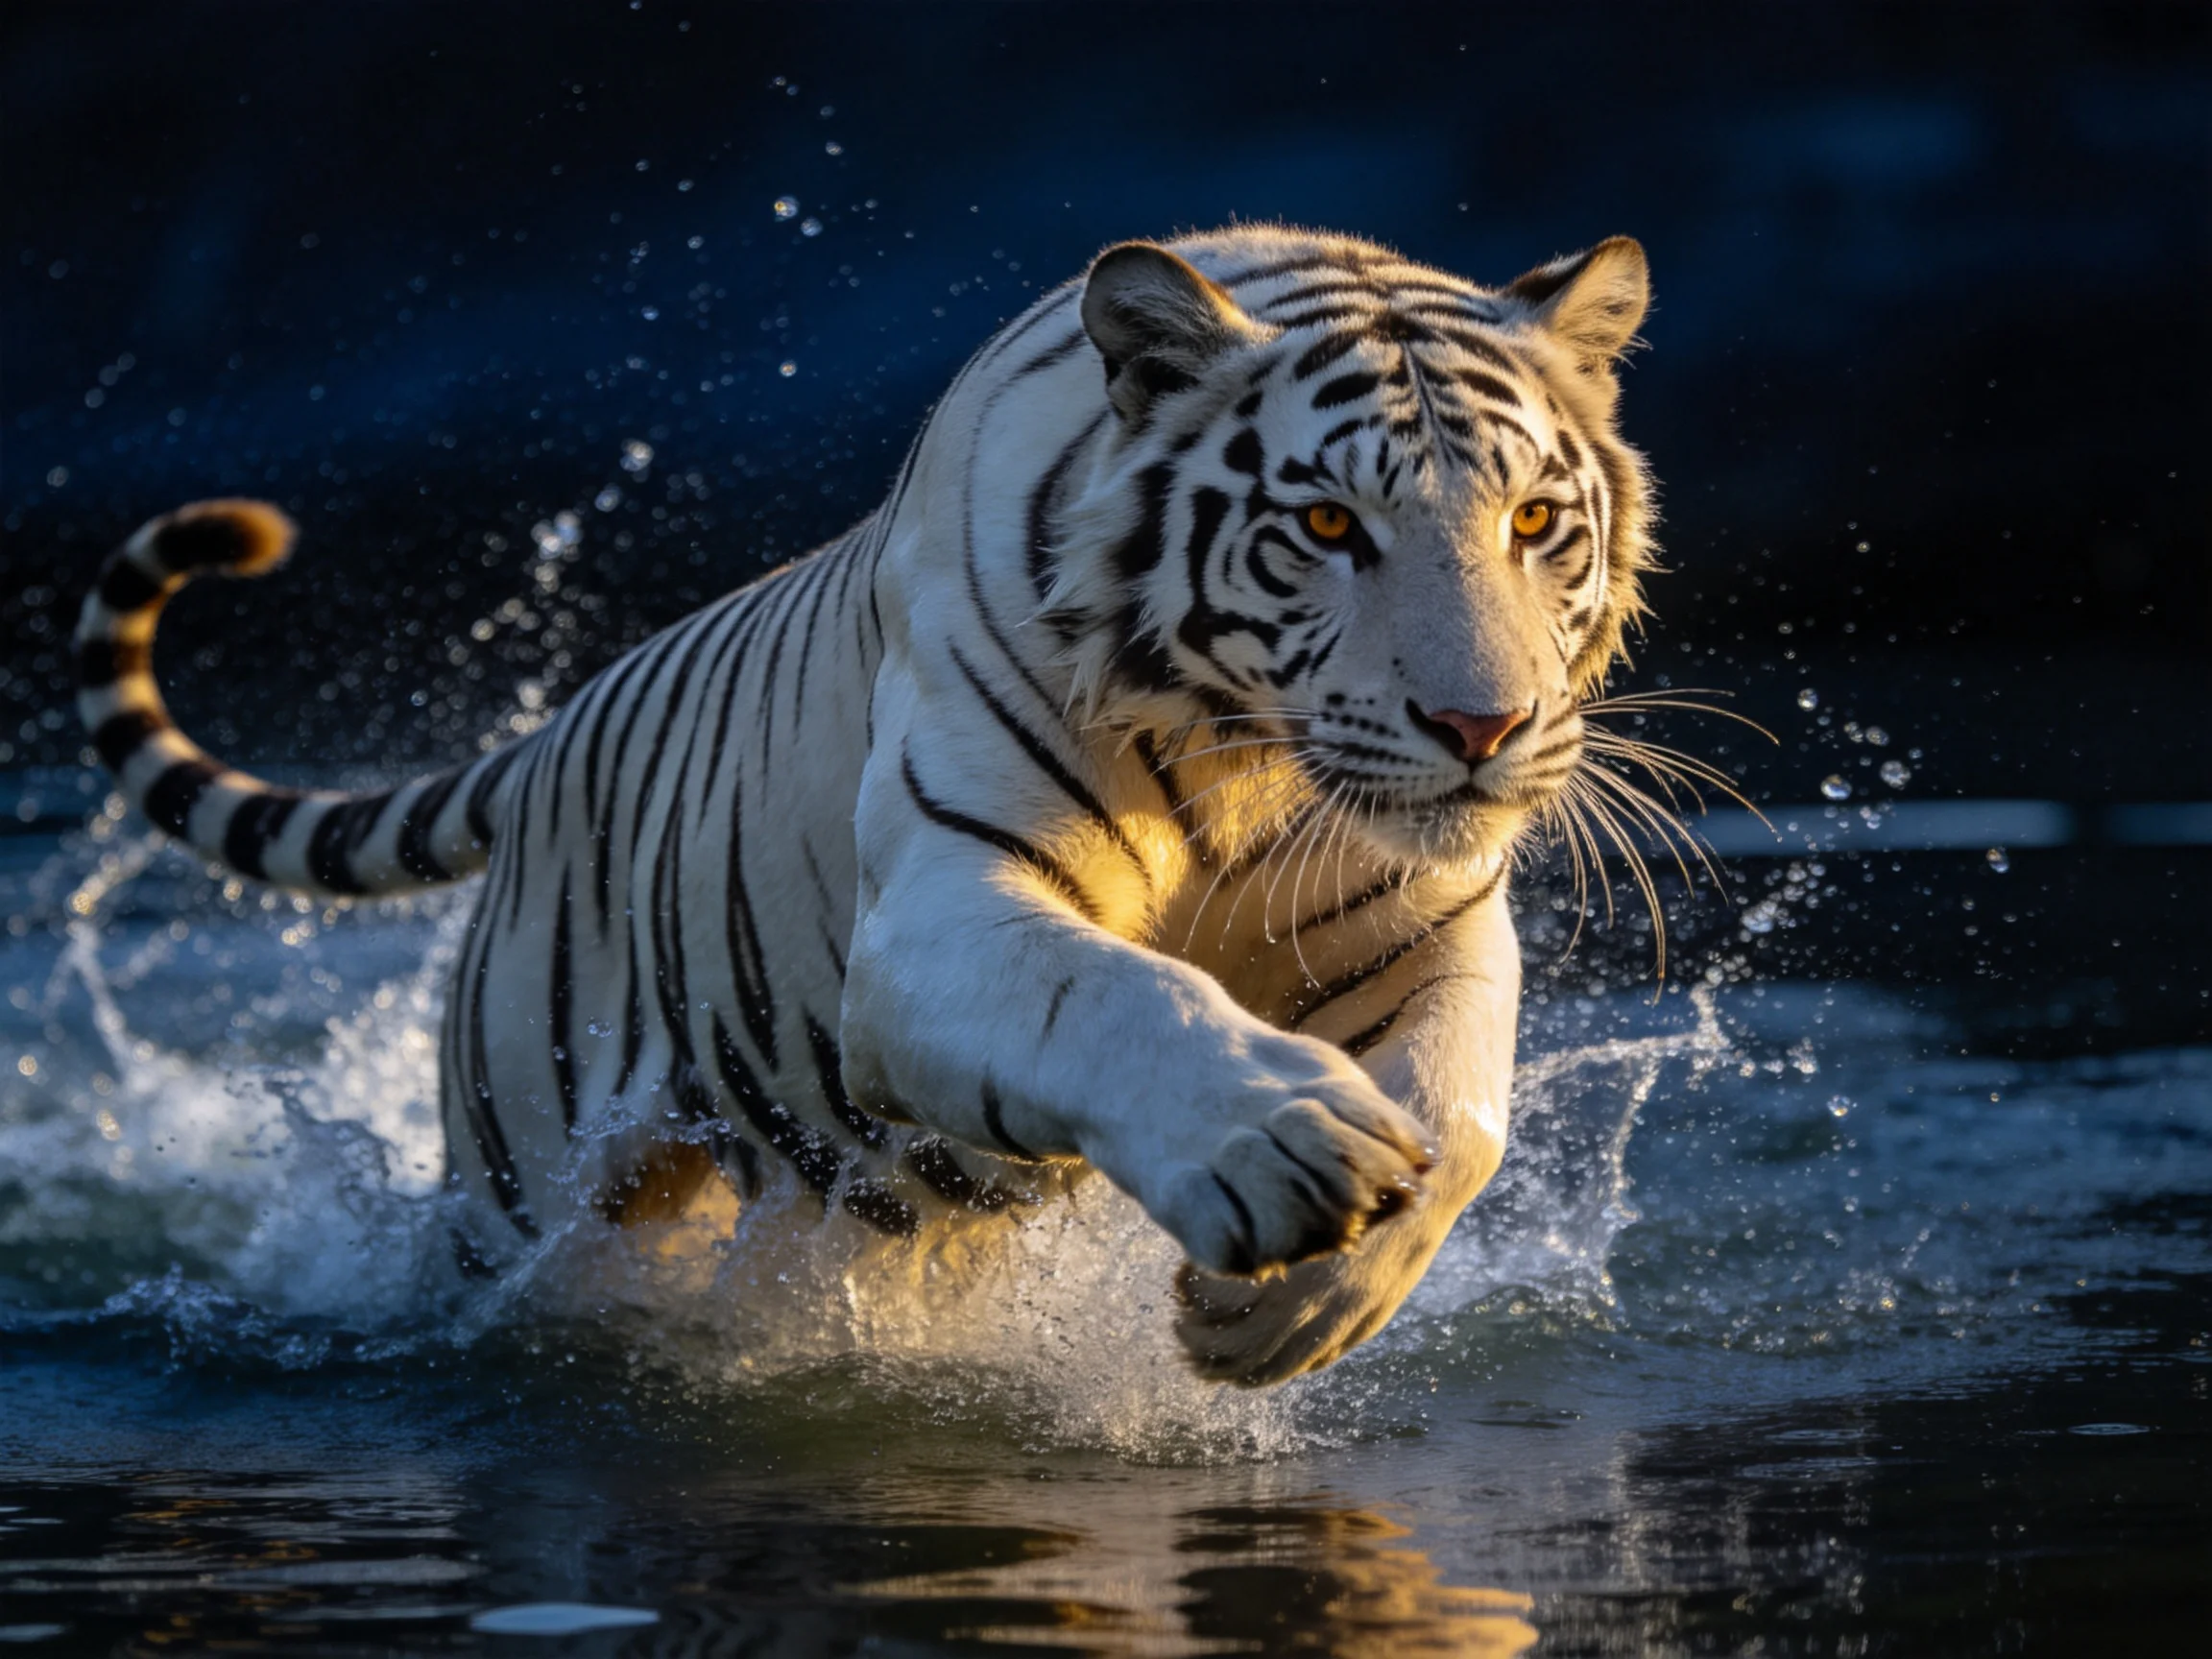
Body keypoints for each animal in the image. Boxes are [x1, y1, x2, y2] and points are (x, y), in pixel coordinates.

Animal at [74, 225, 1655, 1385]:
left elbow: (1460, 1100)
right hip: (522, 1171)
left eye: (1532, 521)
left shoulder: (1432, 918)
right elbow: (1121, 996)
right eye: (1327, 525)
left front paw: (1296, 1307)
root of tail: (542, 743)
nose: (1482, 729)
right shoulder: (941, 914)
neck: (1247, 756)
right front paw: (1281, 1144)